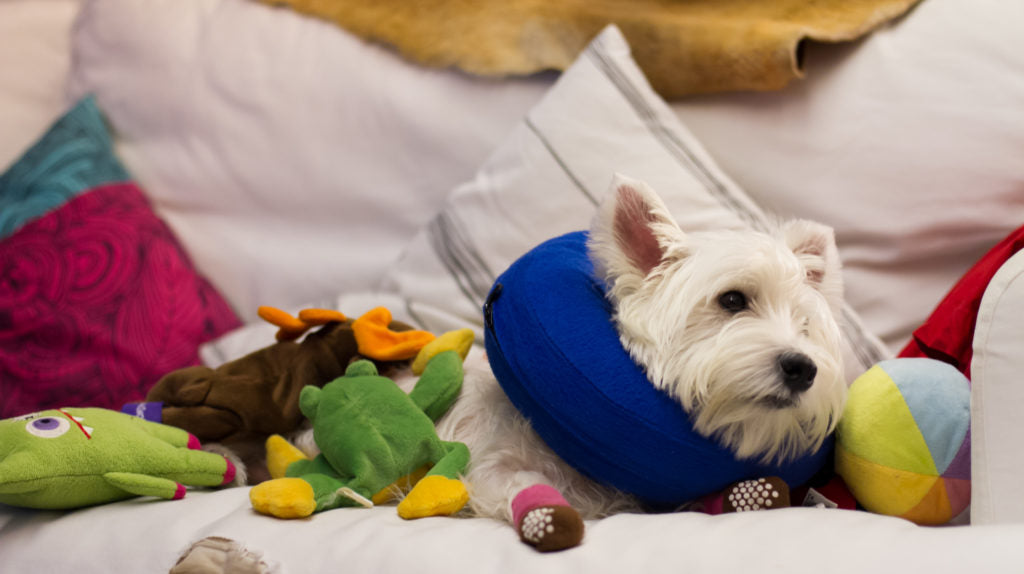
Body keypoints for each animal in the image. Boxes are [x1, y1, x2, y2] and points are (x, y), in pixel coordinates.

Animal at [436, 174, 843, 552]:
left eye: (805, 326)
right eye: (732, 300)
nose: (803, 369)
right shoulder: (493, 463)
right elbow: (520, 479)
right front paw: (548, 516)